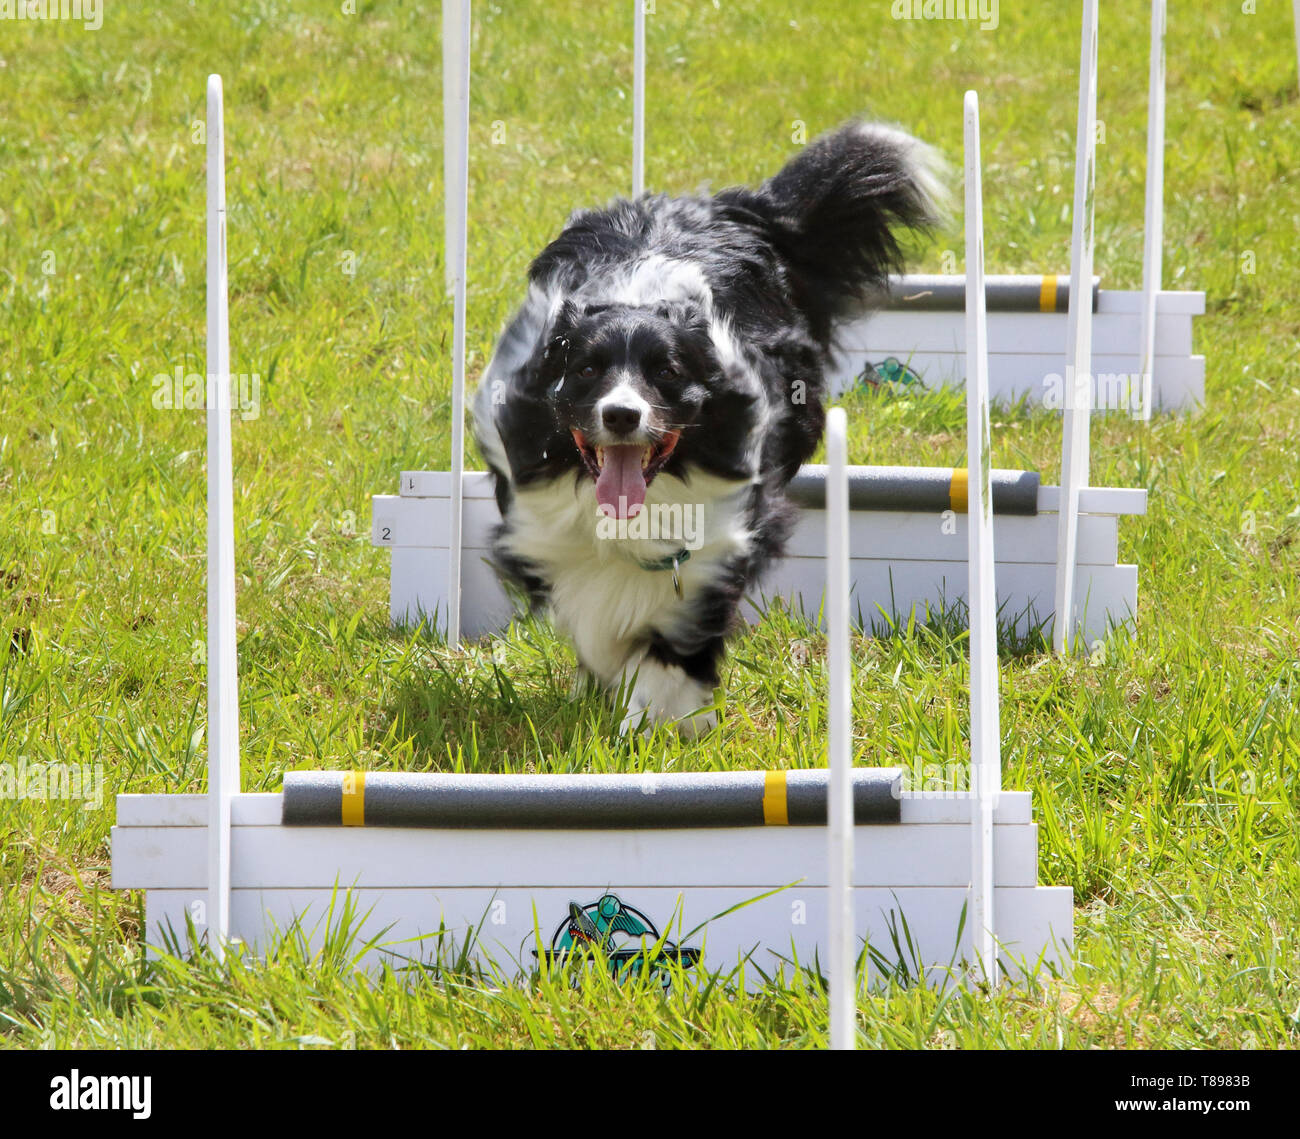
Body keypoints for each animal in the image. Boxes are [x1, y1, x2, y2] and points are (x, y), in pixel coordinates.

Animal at [473, 120, 941, 733]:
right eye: (586, 369)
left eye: (668, 372)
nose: (621, 415)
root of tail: (738, 206)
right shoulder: (544, 527)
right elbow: (591, 604)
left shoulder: (726, 531)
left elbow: (675, 630)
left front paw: (656, 714)